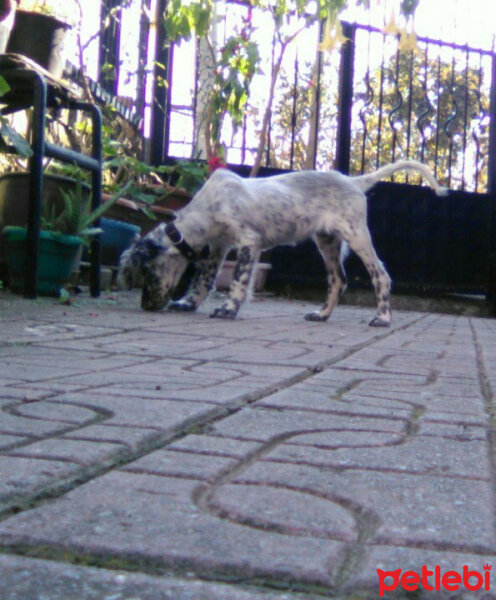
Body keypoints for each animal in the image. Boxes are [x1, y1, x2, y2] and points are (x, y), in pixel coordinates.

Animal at [119, 159, 446, 328]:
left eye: (146, 272)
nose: (146, 306)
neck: (206, 208)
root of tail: (353, 182)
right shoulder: (219, 246)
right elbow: (203, 280)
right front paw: (187, 304)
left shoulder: (248, 241)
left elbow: (238, 280)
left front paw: (227, 309)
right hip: (327, 240)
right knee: (338, 280)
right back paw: (321, 314)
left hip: (357, 235)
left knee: (381, 275)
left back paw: (383, 317)